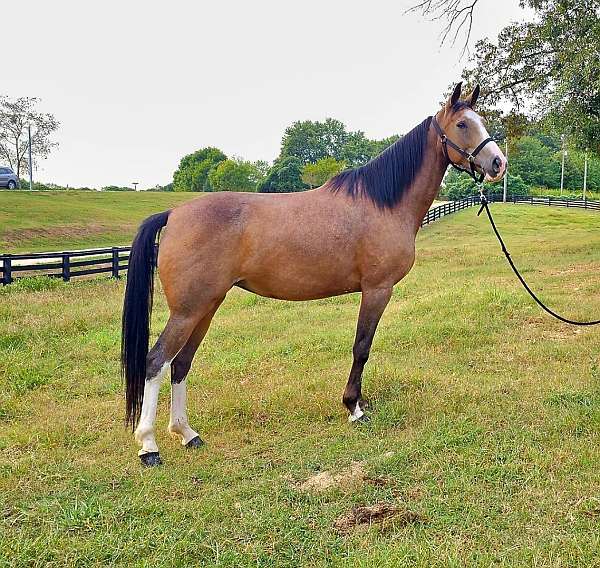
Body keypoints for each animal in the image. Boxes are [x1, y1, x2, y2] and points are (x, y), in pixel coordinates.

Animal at [122, 83, 506, 466]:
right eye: (462, 125)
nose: (497, 163)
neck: (383, 203)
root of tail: (174, 213)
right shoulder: (377, 289)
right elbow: (361, 348)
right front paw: (354, 408)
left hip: (207, 305)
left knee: (181, 363)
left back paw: (187, 433)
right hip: (187, 311)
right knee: (156, 362)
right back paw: (149, 445)